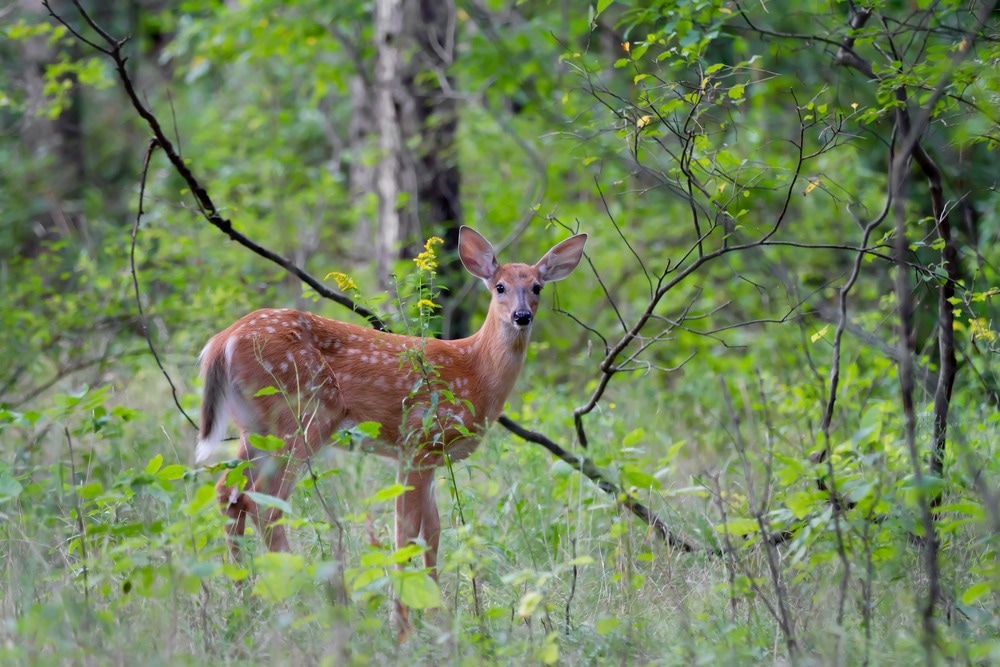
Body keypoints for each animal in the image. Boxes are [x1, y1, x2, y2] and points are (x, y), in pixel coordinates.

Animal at [195, 226, 587, 629]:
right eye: (500, 287)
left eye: (537, 286)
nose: (522, 316)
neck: (475, 371)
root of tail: (220, 343)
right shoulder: (419, 441)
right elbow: (406, 530)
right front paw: (402, 620)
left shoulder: (428, 456)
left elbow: (432, 531)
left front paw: (436, 613)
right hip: (303, 415)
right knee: (264, 504)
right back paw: (301, 600)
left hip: (255, 426)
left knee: (228, 492)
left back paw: (246, 597)